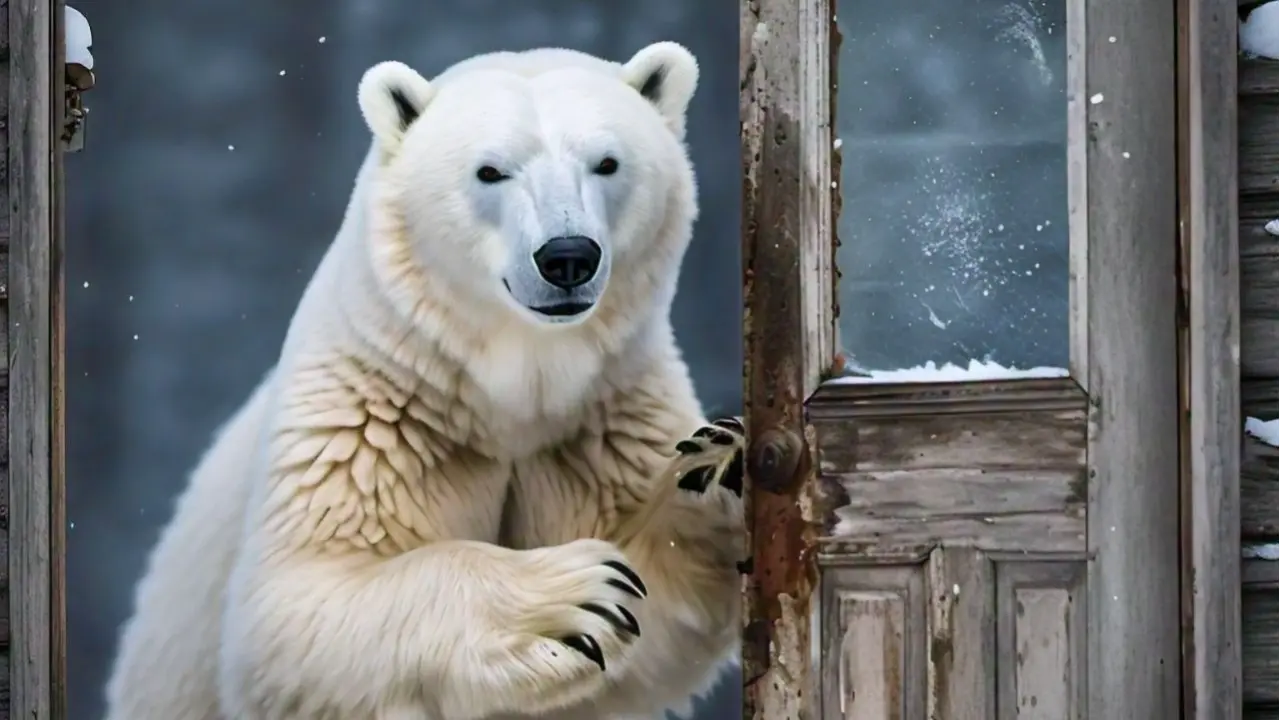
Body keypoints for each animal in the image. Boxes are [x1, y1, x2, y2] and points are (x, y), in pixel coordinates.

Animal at [103, 41, 746, 720]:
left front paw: (717, 463)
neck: (515, 391)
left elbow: (663, 609)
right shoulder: (371, 422)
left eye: (607, 162)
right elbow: (296, 611)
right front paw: (570, 596)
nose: (567, 256)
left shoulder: (603, 424)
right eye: (490, 171)